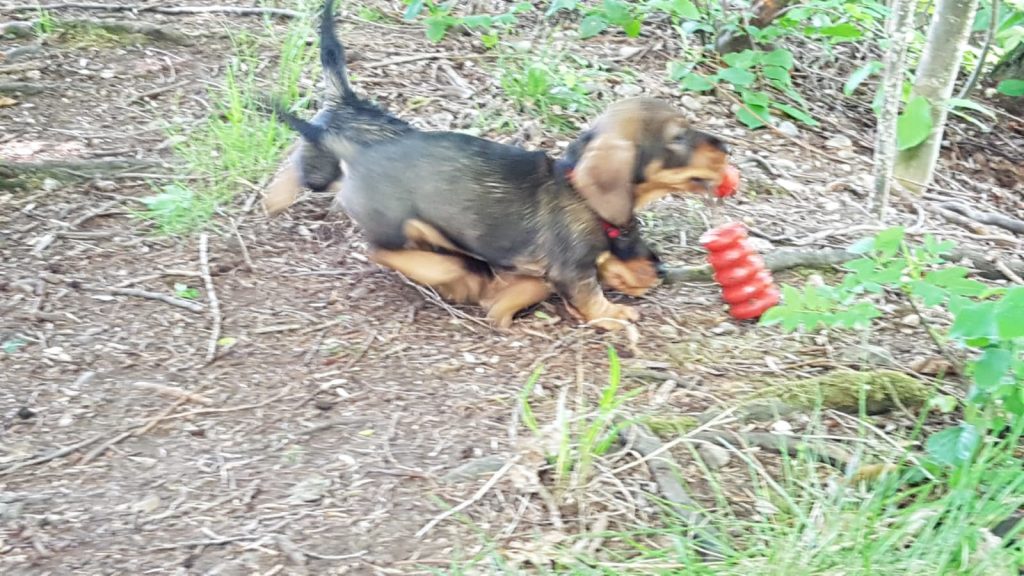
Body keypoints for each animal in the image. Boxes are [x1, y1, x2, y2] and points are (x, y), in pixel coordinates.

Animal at [264, 0, 729, 330]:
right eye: (678, 138)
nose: (725, 147)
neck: (577, 192)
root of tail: (352, 139)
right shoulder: (571, 269)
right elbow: (588, 293)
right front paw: (612, 315)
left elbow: (520, 293)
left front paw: (498, 308)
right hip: (385, 217)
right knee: (377, 247)